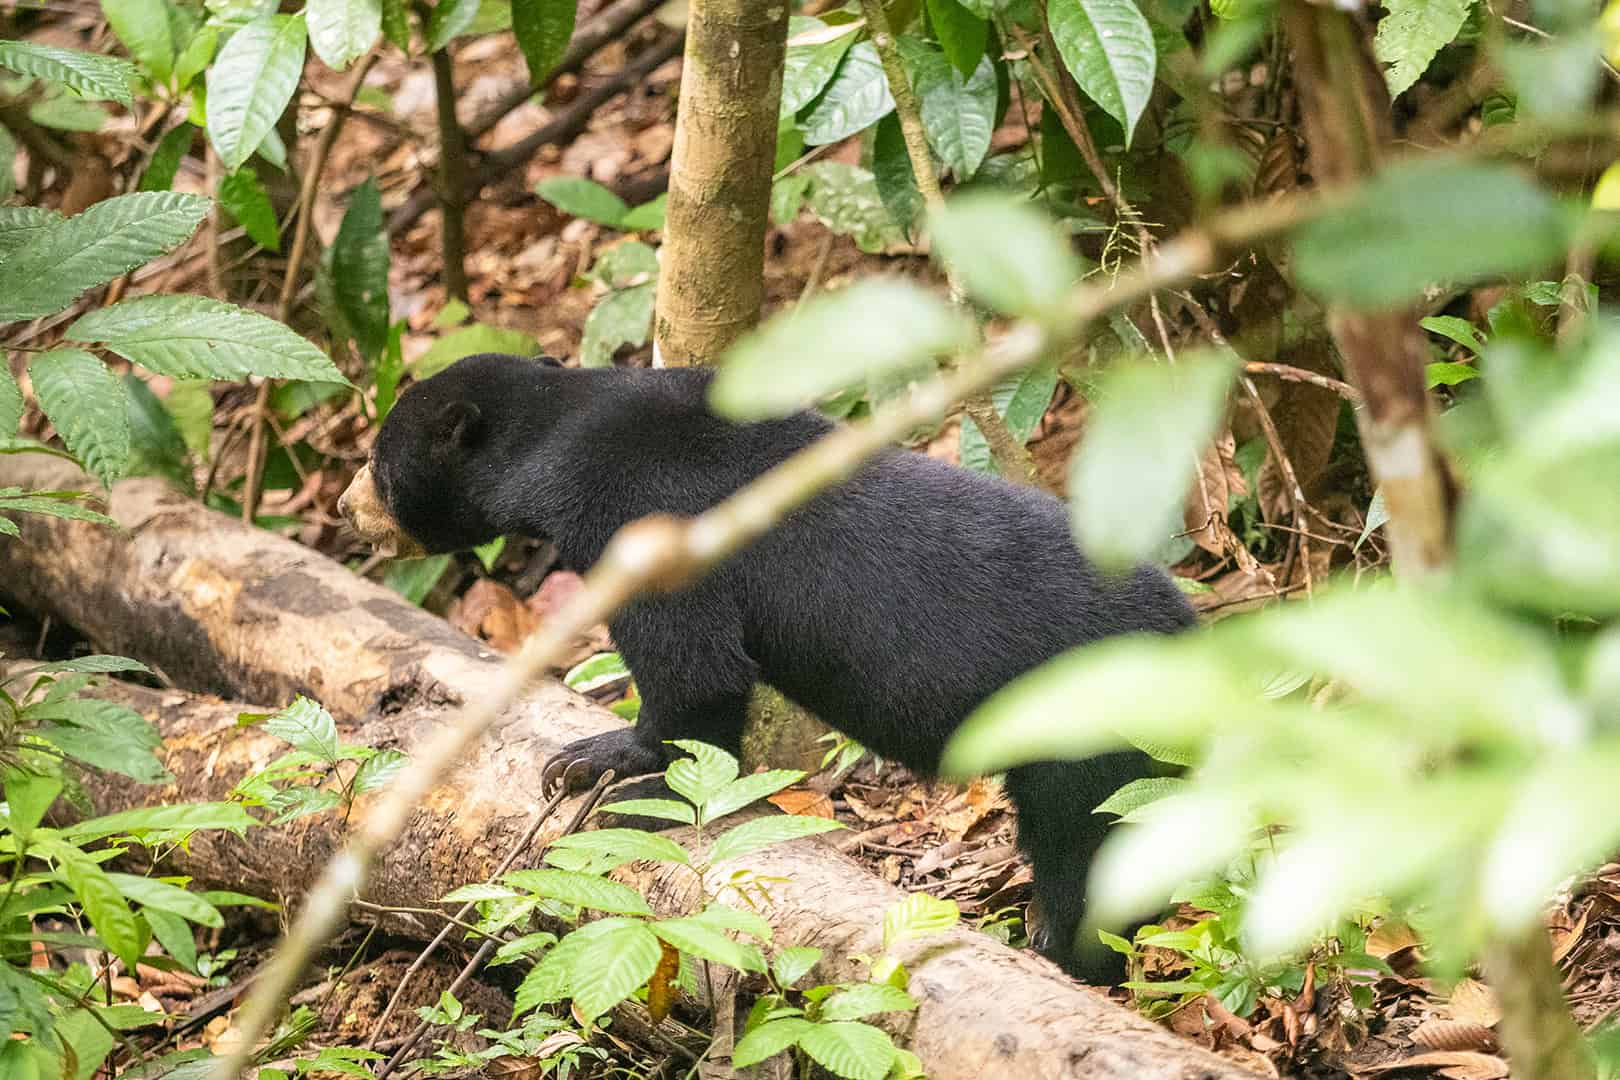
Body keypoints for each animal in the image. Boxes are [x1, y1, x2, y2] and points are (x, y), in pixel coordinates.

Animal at [338, 352, 1197, 982]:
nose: (346, 508)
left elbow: (693, 672)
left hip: (1087, 739)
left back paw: (1066, 955)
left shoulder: (640, 521)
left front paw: (607, 769)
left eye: (377, 460)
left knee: (1087, 853)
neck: (563, 442)